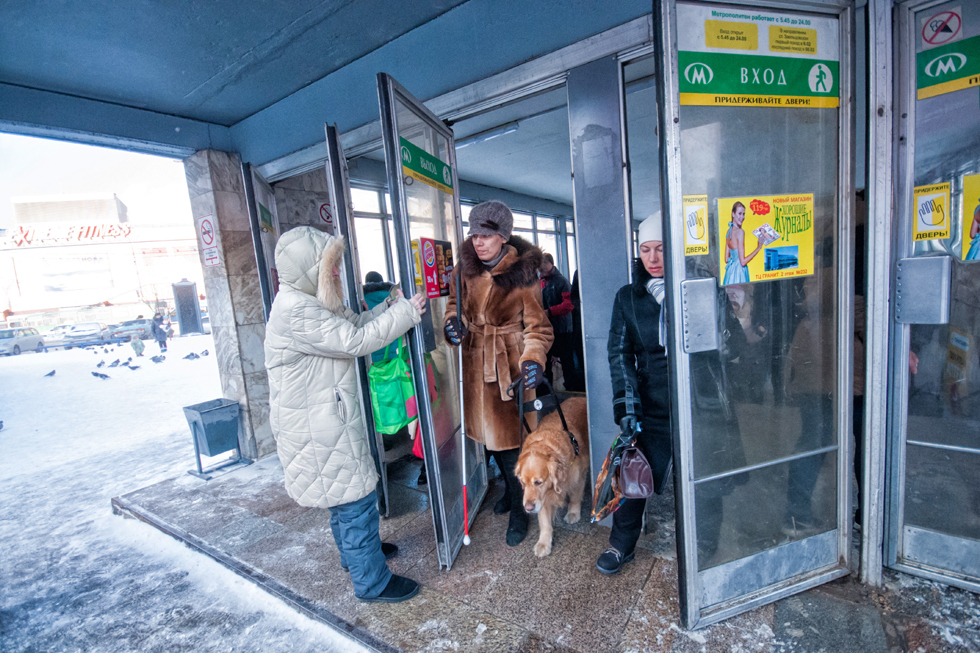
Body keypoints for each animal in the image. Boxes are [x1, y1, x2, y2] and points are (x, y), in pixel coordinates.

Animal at [512, 398, 588, 556]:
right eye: (522, 483)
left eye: (538, 482)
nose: (528, 508)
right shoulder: (541, 498)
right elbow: (545, 521)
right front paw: (544, 543)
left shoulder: (578, 475)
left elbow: (575, 496)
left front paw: (573, 513)